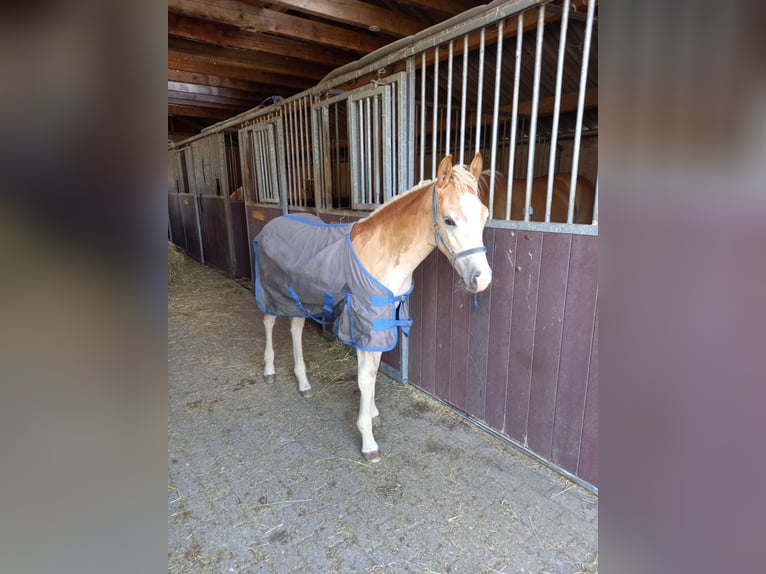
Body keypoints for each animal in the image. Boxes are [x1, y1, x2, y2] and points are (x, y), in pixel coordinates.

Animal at [253, 154, 491, 463]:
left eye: (485, 215)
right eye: (449, 220)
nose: (482, 279)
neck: (383, 252)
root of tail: (272, 225)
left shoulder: (380, 318)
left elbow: (374, 369)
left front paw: (374, 413)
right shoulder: (366, 317)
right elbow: (366, 377)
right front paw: (368, 442)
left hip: (304, 295)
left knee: (295, 328)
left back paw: (304, 384)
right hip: (272, 288)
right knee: (269, 322)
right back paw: (269, 370)